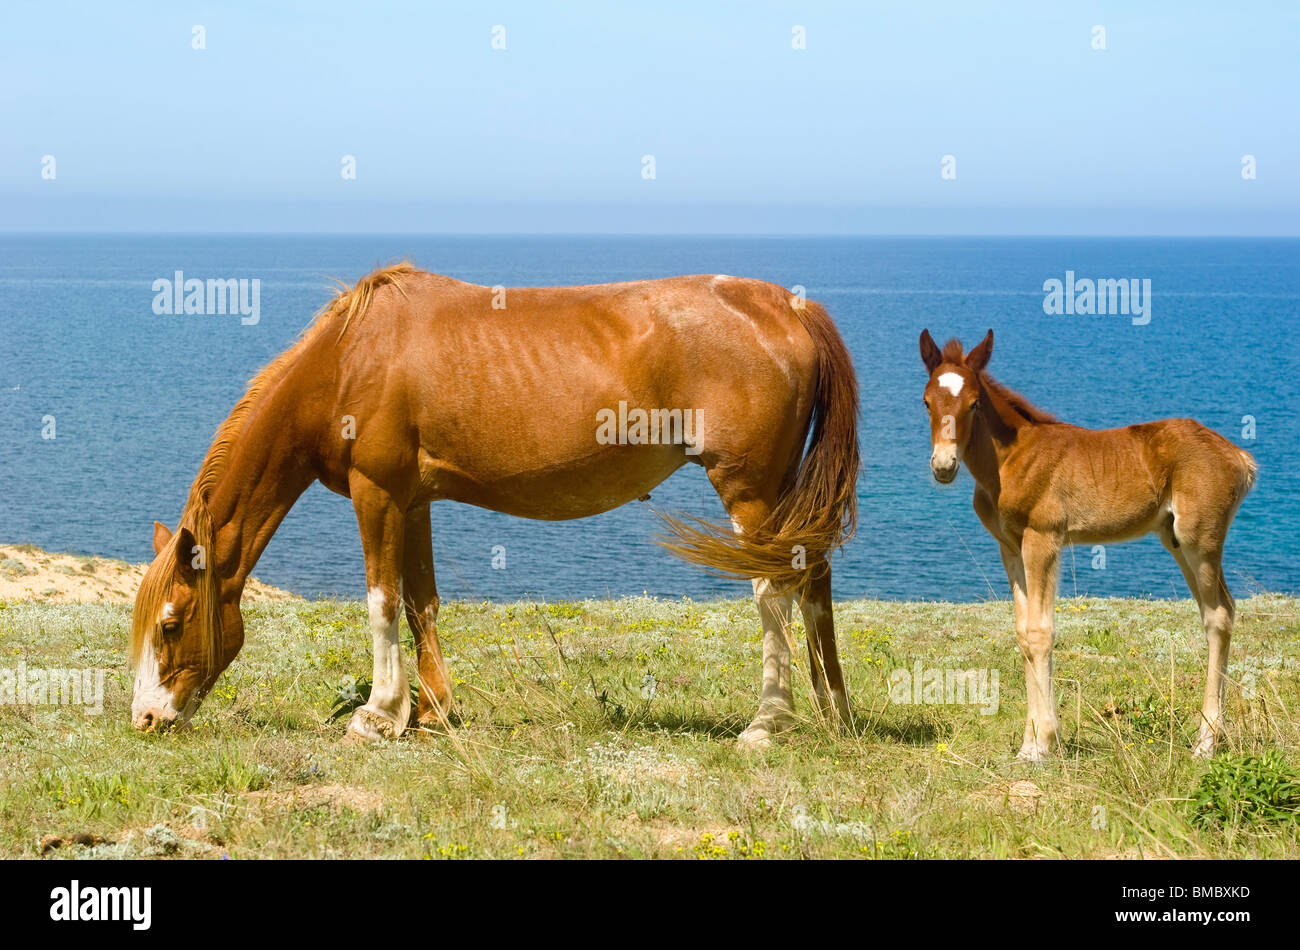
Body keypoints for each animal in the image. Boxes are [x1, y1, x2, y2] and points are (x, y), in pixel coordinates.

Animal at [131, 262, 863, 748]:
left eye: (171, 624)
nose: (145, 718)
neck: (347, 362)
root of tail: (791, 308)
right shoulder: (413, 501)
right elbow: (420, 602)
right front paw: (430, 710)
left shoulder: (377, 493)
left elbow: (382, 603)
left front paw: (378, 712)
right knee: (813, 578)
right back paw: (835, 710)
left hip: (750, 488)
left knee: (774, 589)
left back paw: (768, 722)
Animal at [920, 330, 1253, 764]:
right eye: (926, 401)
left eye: (974, 403)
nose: (943, 465)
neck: (1009, 458)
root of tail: (1239, 456)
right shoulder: (1010, 546)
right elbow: (1023, 633)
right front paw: (1029, 744)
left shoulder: (1043, 538)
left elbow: (1041, 631)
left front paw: (1043, 743)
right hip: (1177, 540)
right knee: (1219, 610)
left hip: (1201, 538)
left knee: (1219, 614)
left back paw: (1207, 741)